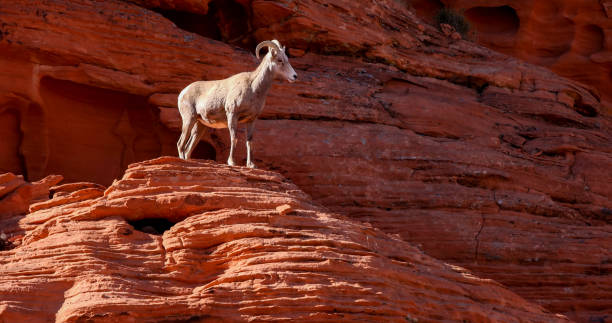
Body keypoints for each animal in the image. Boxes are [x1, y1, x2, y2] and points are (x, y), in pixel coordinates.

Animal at [177, 39, 298, 168]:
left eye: (287, 59)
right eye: (279, 60)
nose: (295, 76)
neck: (253, 88)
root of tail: (183, 93)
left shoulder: (251, 120)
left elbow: (249, 142)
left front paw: (251, 165)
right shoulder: (232, 115)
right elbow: (234, 138)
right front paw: (232, 162)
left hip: (200, 125)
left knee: (188, 148)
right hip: (189, 119)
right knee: (180, 144)